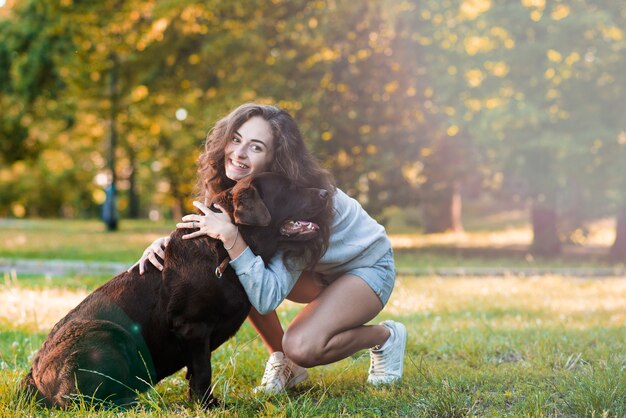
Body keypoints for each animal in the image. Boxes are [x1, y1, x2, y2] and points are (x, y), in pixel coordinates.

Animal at [20, 173, 326, 408]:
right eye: (289, 187)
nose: (325, 192)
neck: (222, 250)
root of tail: (33, 374)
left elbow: (194, 372)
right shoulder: (193, 326)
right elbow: (202, 370)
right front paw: (208, 405)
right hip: (107, 334)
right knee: (78, 400)